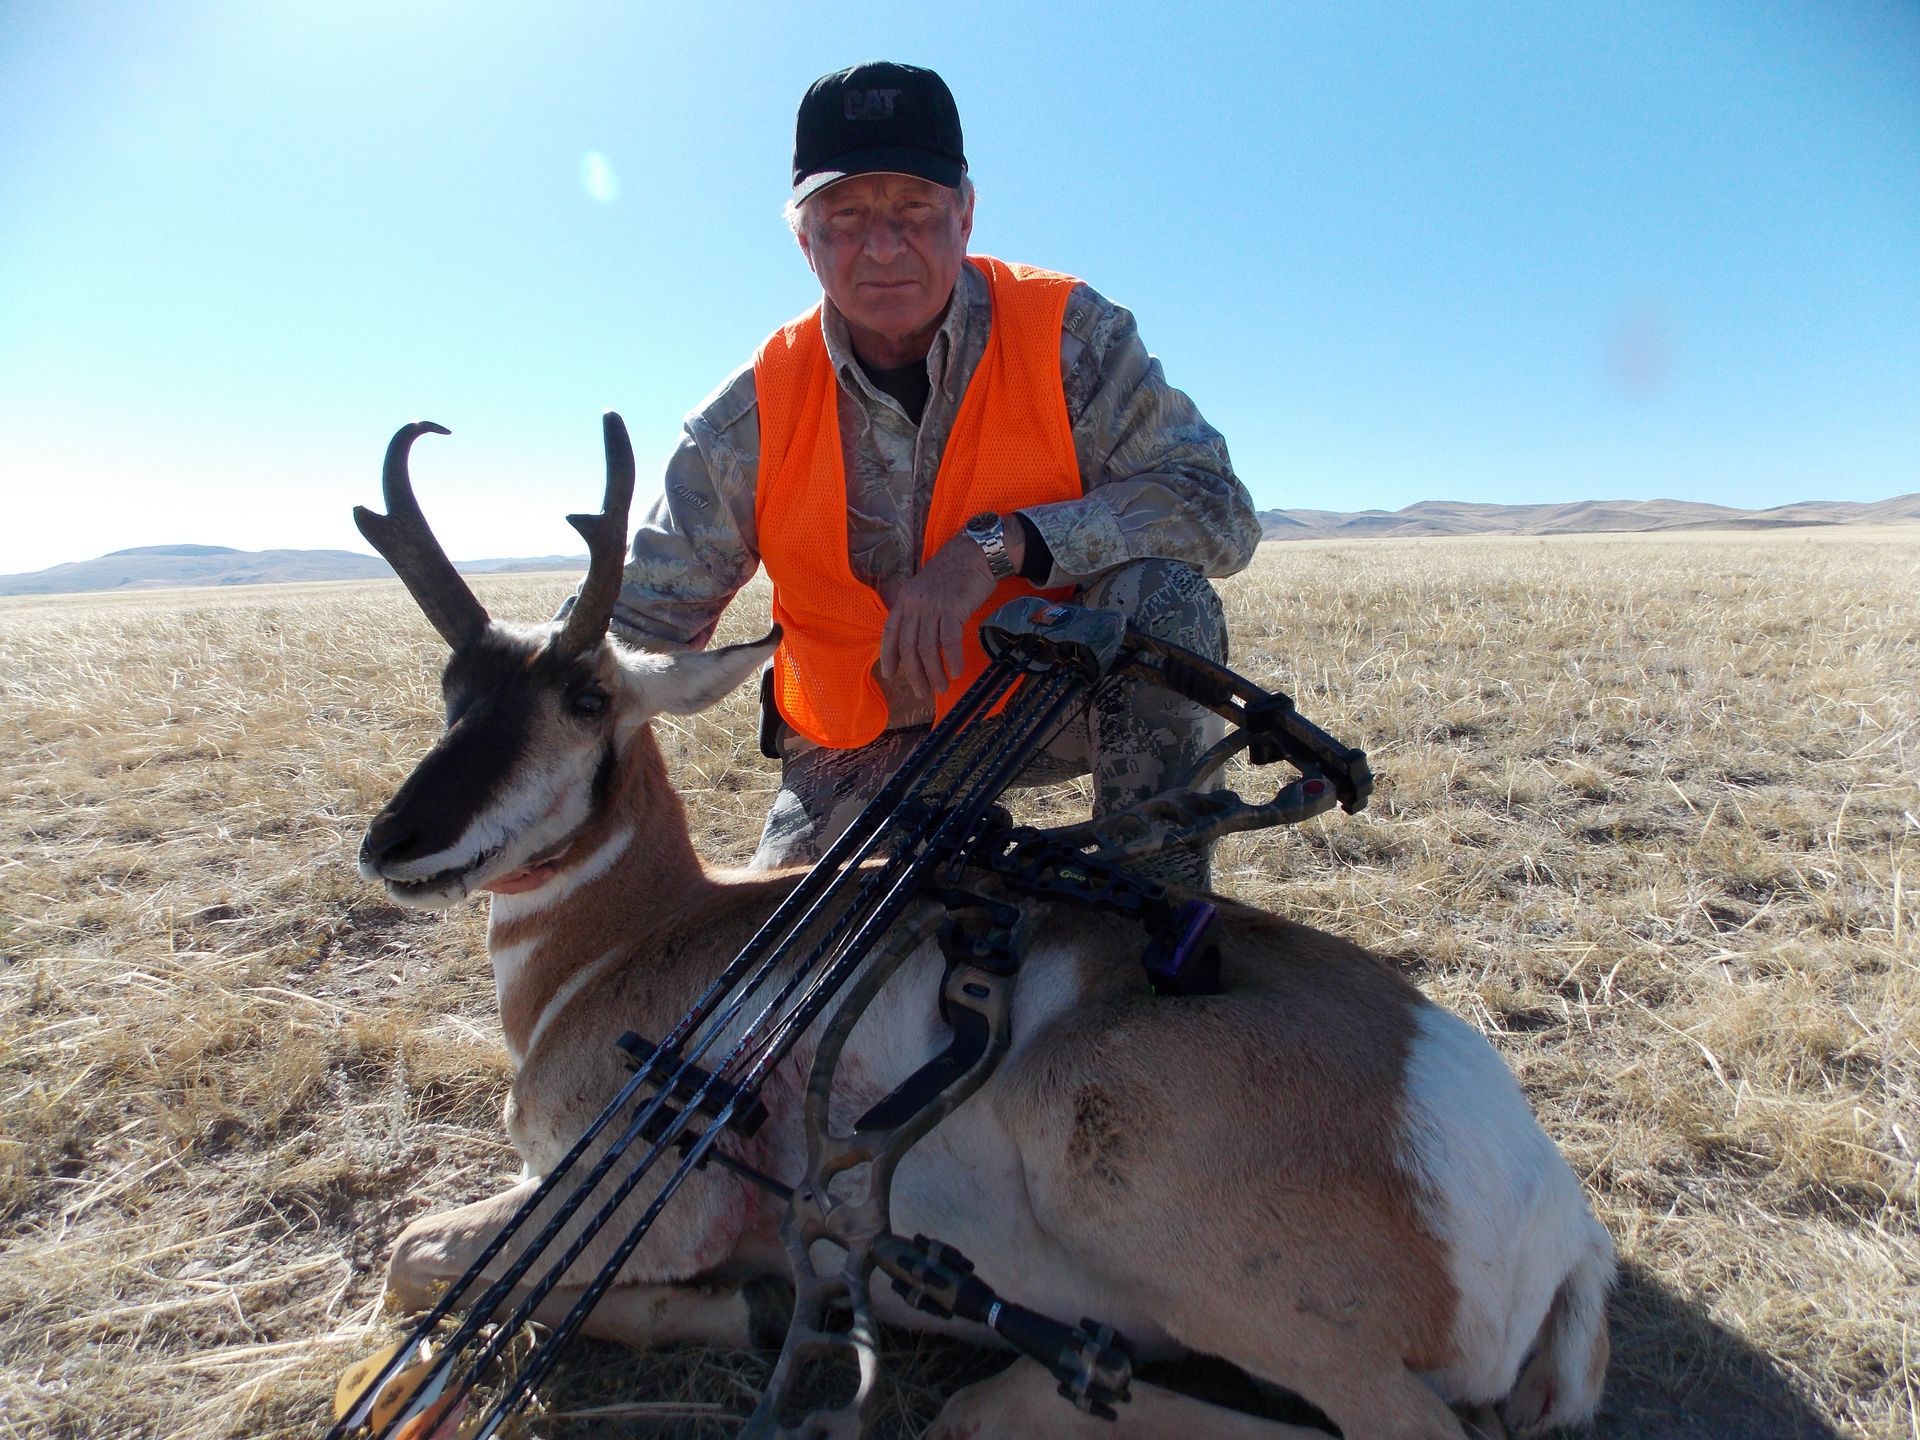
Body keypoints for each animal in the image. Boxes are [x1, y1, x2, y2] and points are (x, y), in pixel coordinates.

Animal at [355, 413, 1614, 1440]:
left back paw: (995, 1392)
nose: (394, 844)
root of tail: (1550, 1202)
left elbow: (414, 1257)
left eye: (585, 697)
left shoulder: (653, 1194)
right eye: (451, 691)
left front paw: (726, 1307)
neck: (636, 936)